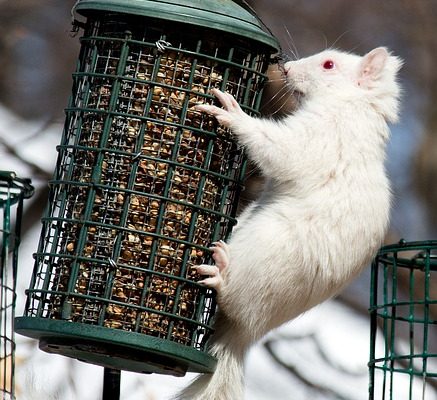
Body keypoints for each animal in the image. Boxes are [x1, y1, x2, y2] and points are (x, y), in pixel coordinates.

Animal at [175, 45, 400, 398]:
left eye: (329, 64)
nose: (288, 67)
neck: (352, 105)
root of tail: (244, 334)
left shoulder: (324, 138)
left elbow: (282, 151)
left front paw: (233, 113)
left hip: (265, 257)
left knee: (234, 299)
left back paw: (221, 273)